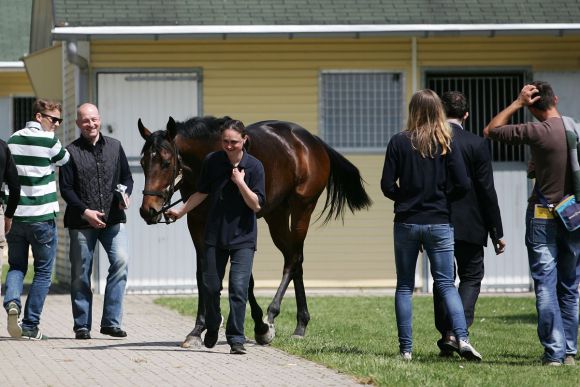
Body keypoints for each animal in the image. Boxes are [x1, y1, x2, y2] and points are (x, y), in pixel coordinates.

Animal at [138, 116, 370, 348]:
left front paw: (260, 326)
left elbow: (245, 278)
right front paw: (197, 330)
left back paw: (273, 315)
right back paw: (301, 324)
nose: (148, 211)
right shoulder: (197, 223)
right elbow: (203, 274)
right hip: (277, 215)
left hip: (302, 209)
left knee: (293, 259)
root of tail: (312, 141)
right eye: (142, 163)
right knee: (295, 259)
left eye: (166, 162)